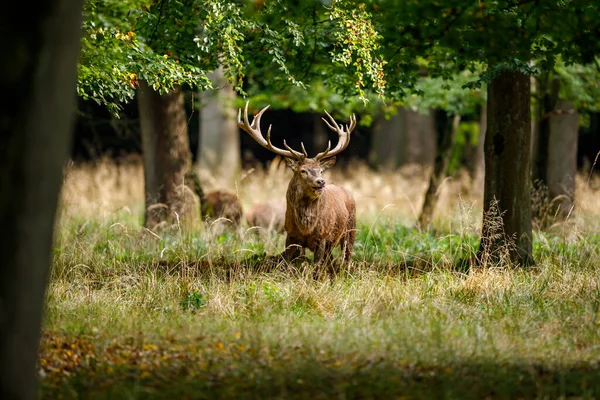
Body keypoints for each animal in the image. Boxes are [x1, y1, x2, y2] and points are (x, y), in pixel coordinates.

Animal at [237, 101, 356, 268]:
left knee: (346, 258)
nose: (321, 181)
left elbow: (316, 268)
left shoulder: (323, 236)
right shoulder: (291, 235)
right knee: (331, 262)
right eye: (303, 170)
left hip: (351, 229)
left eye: (321, 170)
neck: (306, 228)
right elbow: (288, 263)